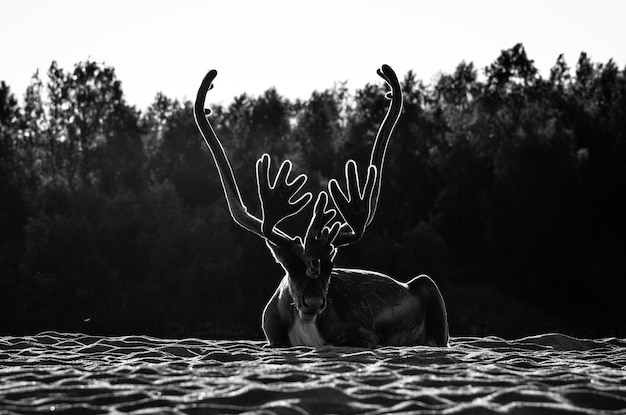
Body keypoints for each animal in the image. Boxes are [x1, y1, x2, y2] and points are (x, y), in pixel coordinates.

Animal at [193, 64, 446, 348]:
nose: (313, 302)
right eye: (290, 267)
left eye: (330, 267)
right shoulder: (272, 337)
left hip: (429, 288)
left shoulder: (366, 334)